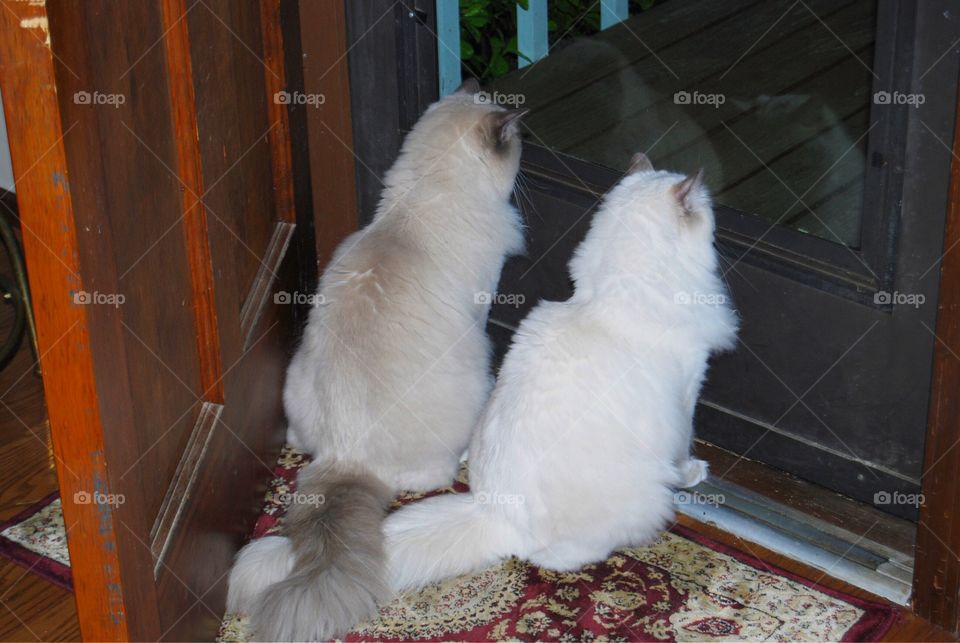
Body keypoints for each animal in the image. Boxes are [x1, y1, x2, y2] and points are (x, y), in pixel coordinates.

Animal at [227, 82, 524, 643]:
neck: (425, 195)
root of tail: (344, 457)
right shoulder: (482, 305)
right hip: (475, 372)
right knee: (432, 473)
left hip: (297, 380)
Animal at [380, 153, 736, 592]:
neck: (607, 302)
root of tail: (493, 512)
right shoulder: (687, 394)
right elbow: (685, 448)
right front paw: (693, 473)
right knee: (556, 558)